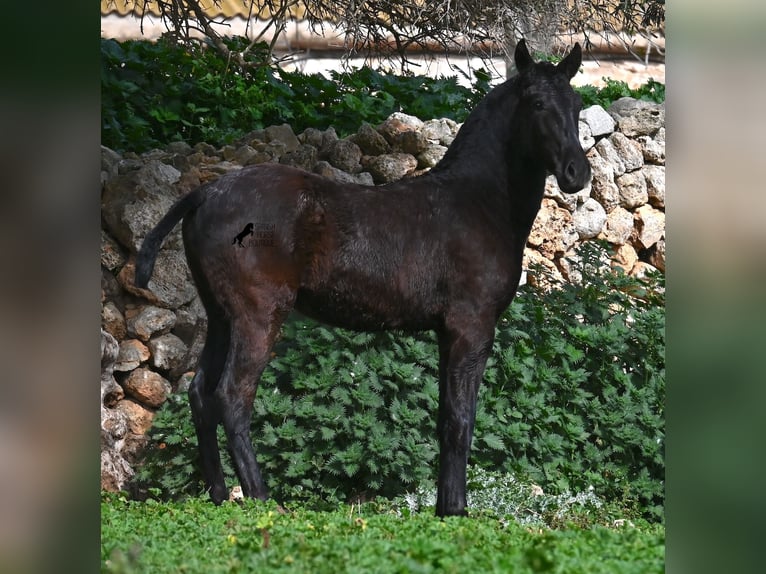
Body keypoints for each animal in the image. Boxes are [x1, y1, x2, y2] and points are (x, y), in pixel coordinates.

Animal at [136, 40, 592, 516]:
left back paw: (220, 495)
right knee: (232, 396)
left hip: (221, 316)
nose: (577, 173)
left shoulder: (447, 332)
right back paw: (261, 499)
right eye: (537, 103)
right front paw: (456, 509)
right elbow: (461, 419)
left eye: (577, 104)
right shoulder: (471, 327)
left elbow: (445, 417)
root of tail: (206, 192)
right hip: (257, 316)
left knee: (200, 393)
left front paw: (443, 509)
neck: (478, 202)